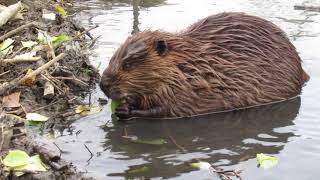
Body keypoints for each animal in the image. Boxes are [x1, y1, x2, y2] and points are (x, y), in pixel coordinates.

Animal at [99, 11, 308, 119]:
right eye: (111, 59)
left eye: (127, 65)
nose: (103, 85)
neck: (190, 67)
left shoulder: (185, 92)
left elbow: (166, 110)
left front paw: (126, 110)